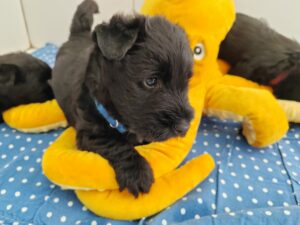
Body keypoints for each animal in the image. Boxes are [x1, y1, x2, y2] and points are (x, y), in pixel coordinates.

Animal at [51, 0, 195, 196]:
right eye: (151, 81)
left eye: (187, 80)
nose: (184, 127)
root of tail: (77, 36)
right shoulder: (89, 132)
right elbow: (115, 144)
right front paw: (137, 173)